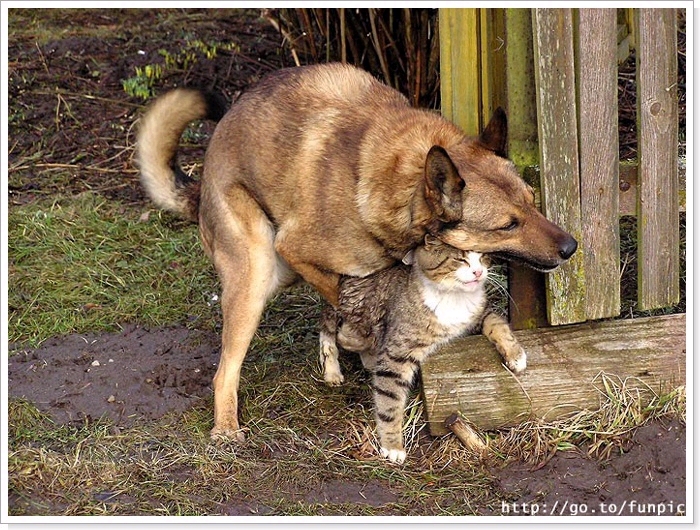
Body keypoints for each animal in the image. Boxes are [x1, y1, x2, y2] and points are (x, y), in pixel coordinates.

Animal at [318, 234, 524, 462]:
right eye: (460, 259)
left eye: (483, 257)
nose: (478, 272)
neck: (453, 297)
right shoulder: (397, 354)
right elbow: (389, 400)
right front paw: (392, 446)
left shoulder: (479, 315)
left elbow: (497, 323)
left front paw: (516, 356)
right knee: (330, 326)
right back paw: (333, 371)